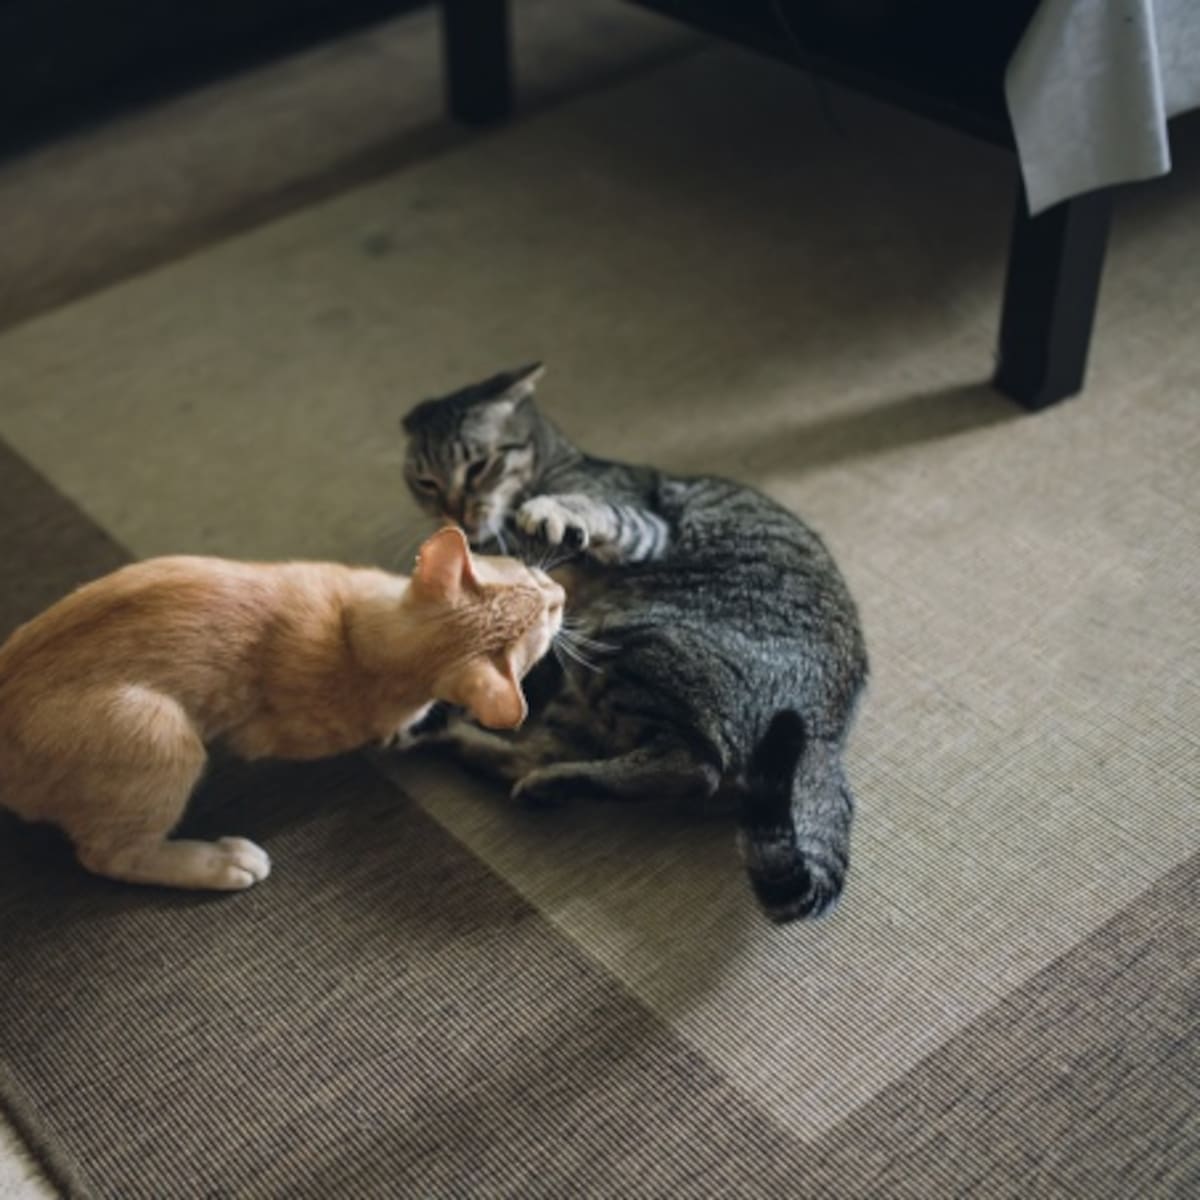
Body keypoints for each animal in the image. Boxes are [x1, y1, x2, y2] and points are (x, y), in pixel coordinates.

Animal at [0, 527, 563, 891]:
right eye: (535, 583)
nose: (560, 590)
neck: (356, 643)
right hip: (159, 731)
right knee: (109, 855)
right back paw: (220, 862)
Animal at [400, 364, 868, 922]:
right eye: (426, 482)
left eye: (479, 466)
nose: (458, 514)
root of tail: (825, 736)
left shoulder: (644, 529)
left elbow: (600, 513)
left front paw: (551, 512)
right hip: (586, 679)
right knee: (542, 751)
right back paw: (478, 749)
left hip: (626, 637)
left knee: (695, 765)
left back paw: (539, 774)